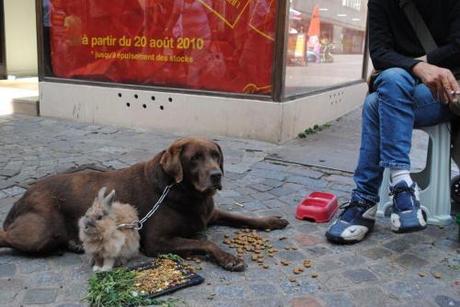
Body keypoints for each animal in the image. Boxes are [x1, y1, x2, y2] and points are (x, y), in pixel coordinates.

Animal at [0, 138, 288, 270]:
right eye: (195, 158)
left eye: (216, 155)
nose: (216, 175)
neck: (183, 192)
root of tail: (23, 197)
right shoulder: (156, 241)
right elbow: (205, 243)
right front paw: (227, 258)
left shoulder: (211, 213)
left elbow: (243, 217)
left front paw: (272, 220)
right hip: (41, 232)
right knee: (6, 237)